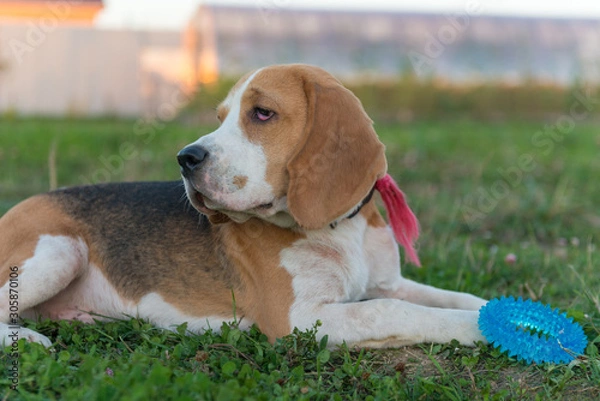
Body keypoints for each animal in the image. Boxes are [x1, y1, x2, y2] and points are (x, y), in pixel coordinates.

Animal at [0, 63, 488, 346]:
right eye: (221, 118)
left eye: (263, 113)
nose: (185, 158)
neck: (338, 229)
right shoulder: (298, 318)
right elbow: (391, 311)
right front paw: (479, 329)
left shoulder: (389, 283)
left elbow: (456, 297)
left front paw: (492, 310)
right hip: (60, 251)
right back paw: (27, 340)